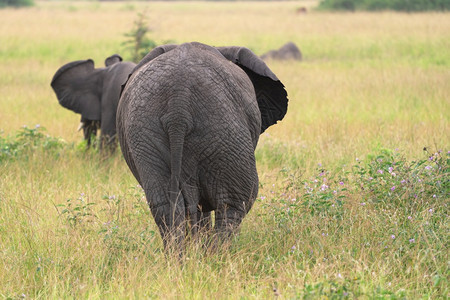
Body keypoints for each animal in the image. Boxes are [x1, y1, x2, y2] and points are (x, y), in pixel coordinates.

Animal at [117, 41, 288, 250]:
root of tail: (178, 105)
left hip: (143, 132)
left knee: (165, 204)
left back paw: (178, 257)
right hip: (223, 129)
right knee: (236, 202)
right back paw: (218, 255)